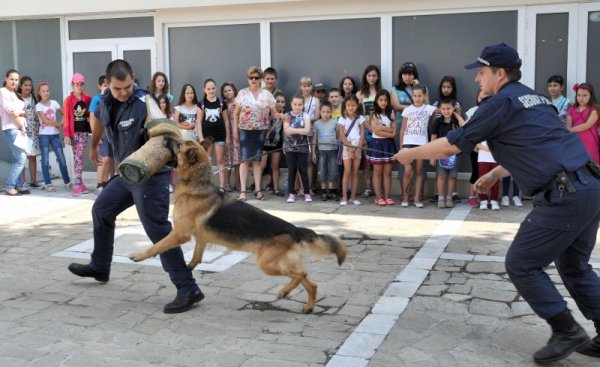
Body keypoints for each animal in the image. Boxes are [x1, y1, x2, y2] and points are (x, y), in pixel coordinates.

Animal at [131, 138, 346, 314]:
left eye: (178, 145)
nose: (165, 138)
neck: (196, 182)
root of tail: (295, 229)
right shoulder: (200, 237)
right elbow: (196, 256)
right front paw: (188, 268)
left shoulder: (179, 234)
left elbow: (157, 245)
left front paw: (139, 255)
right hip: (281, 263)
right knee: (310, 281)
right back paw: (308, 306)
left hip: (267, 264)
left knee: (301, 274)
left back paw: (284, 292)